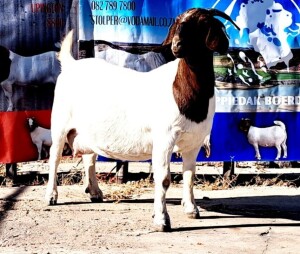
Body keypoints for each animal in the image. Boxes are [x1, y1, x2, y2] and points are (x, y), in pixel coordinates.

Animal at [46, 7, 239, 231]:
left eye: (202, 23)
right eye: (178, 22)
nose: (176, 45)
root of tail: (71, 65)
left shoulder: (194, 141)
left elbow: (190, 176)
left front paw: (192, 210)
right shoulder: (165, 138)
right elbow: (163, 179)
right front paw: (161, 220)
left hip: (88, 129)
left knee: (89, 157)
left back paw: (95, 192)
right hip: (60, 123)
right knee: (54, 157)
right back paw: (51, 196)